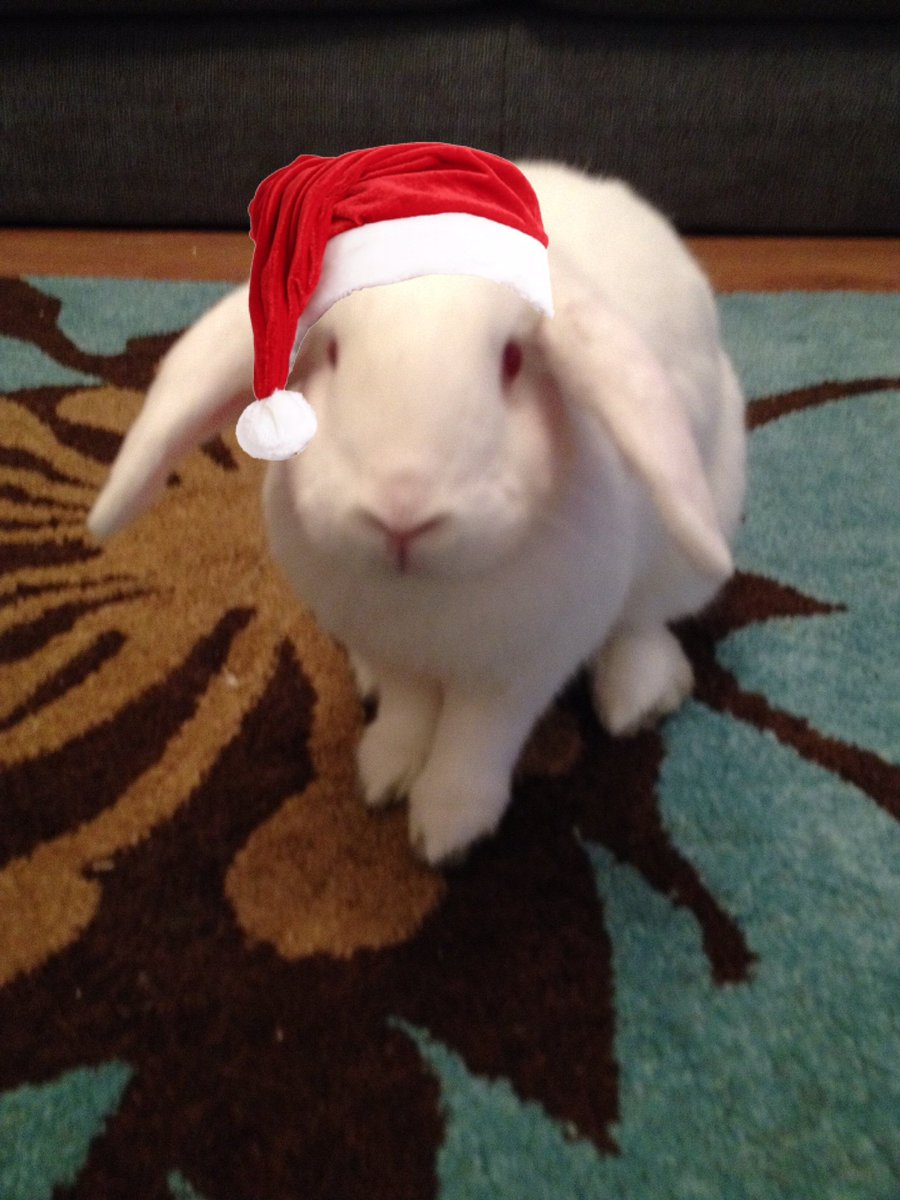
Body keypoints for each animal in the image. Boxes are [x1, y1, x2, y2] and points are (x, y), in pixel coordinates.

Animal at [88, 162, 746, 866]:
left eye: (513, 361)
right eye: (332, 353)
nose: (402, 513)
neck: (422, 598)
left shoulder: (519, 669)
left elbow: (475, 739)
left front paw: (447, 830)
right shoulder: (393, 648)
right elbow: (408, 709)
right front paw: (385, 773)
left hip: (687, 546)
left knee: (644, 621)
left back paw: (637, 698)